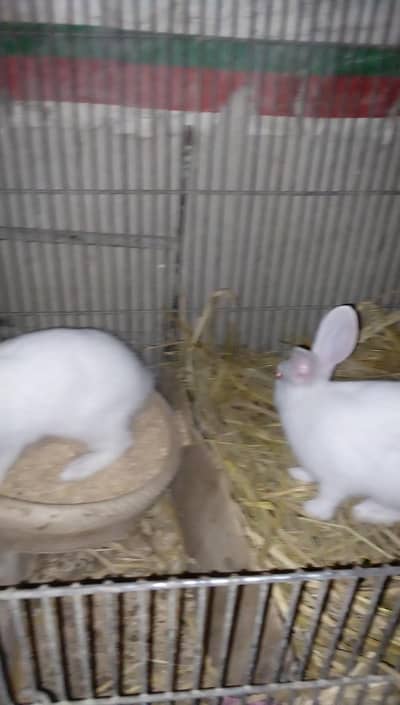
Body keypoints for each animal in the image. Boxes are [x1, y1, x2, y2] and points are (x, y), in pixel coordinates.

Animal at [274, 305, 400, 525]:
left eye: (279, 375)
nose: (275, 372)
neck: (309, 400)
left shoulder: (337, 478)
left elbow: (330, 496)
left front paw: (313, 510)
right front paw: (298, 473)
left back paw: (366, 511)